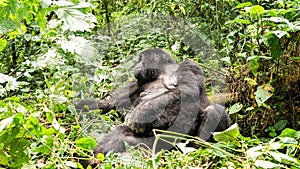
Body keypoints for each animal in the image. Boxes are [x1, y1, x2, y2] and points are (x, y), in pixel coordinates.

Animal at [74, 48, 230, 158]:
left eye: (141, 59)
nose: (136, 65)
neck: (163, 72)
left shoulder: (190, 64)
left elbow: (187, 90)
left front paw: (145, 109)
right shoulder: (139, 82)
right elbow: (111, 103)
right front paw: (78, 105)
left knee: (214, 110)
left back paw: (199, 146)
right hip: (150, 145)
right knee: (122, 134)